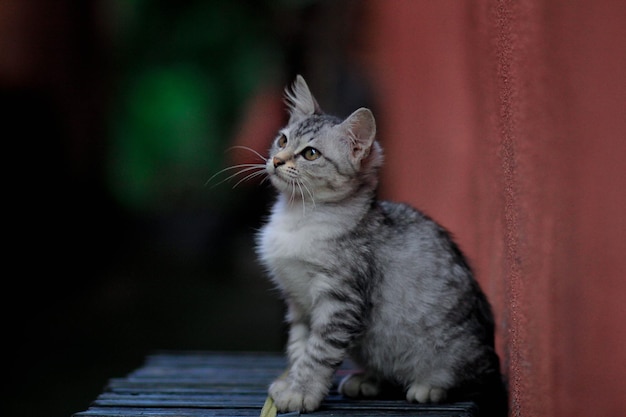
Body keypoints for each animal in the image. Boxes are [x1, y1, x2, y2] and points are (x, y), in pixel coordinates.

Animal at [251, 75, 504, 412]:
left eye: (310, 154)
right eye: (282, 140)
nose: (277, 161)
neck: (297, 217)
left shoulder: (340, 302)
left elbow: (318, 353)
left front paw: (301, 392)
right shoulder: (299, 303)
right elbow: (299, 348)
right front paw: (292, 382)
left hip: (454, 352)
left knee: (471, 377)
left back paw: (429, 386)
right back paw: (366, 380)